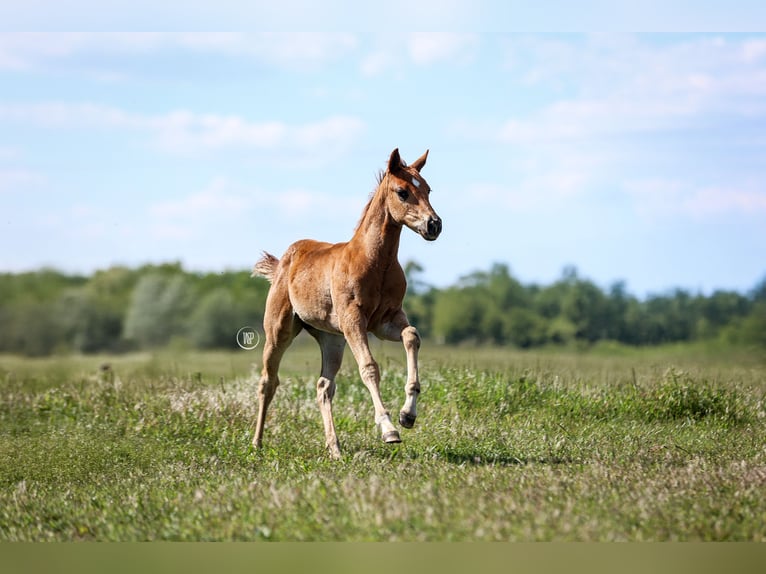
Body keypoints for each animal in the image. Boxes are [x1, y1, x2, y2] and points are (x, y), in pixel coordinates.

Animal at [251, 148, 442, 459]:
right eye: (402, 192)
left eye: (427, 189)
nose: (434, 224)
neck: (375, 263)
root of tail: (283, 262)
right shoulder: (355, 320)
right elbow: (369, 368)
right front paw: (389, 428)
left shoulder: (386, 320)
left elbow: (412, 336)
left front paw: (408, 415)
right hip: (279, 330)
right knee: (268, 381)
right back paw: (256, 443)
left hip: (332, 339)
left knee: (323, 386)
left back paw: (335, 448)